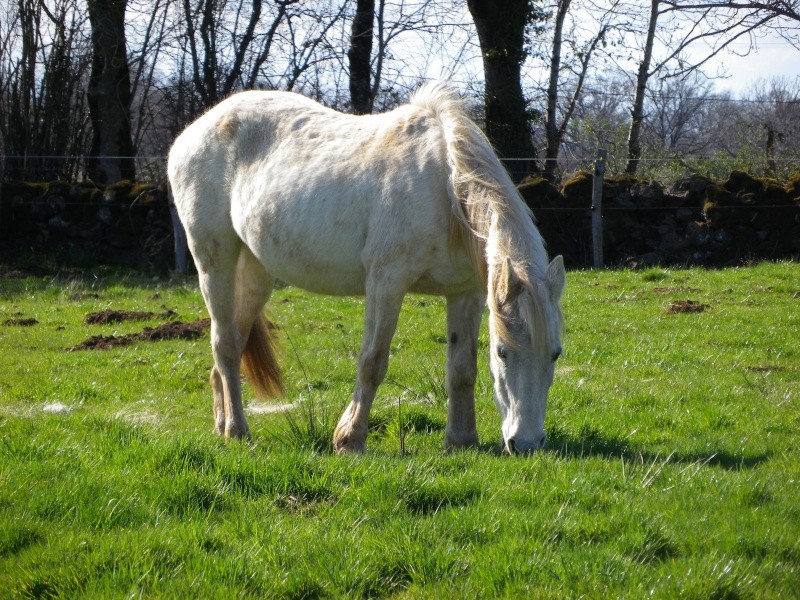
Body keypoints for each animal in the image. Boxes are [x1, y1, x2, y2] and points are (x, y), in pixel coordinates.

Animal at [166, 82, 564, 452]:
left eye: (555, 353)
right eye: (503, 352)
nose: (526, 444)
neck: (446, 188)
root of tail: (191, 133)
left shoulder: (466, 293)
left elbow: (462, 368)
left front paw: (461, 440)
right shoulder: (386, 282)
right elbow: (372, 361)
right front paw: (349, 439)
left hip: (256, 271)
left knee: (233, 342)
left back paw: (222, 425)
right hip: (213, 261)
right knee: (224, 344)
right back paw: (237, 430)